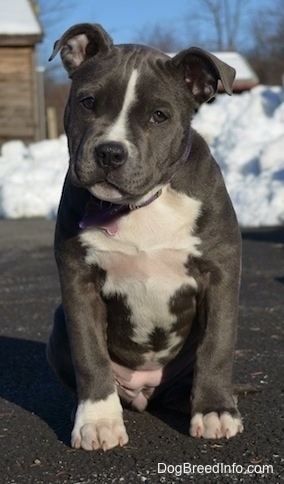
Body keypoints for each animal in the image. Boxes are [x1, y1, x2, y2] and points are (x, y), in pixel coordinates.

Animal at [47, 24, 244, 452]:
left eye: (159, 115)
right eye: (88, 102)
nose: (110, 152)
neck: (138, 206)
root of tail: (144, 392)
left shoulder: (219, 273)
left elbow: (217, 345)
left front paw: (216, 411)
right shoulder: (78, 281)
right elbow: (90, 354)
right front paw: (98, 422)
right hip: (57, 324)